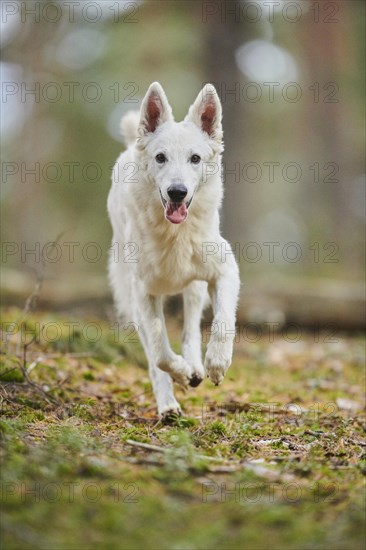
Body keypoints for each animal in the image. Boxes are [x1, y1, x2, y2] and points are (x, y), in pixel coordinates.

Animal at [108, 82, 240, 420]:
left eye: (195, 158)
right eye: (160, 157)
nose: (177, 192)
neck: (175, 235)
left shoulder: (225, 270)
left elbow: (222, 323)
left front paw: (216, 364)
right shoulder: (144, 293)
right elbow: (160, 354)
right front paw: (179, 373)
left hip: (194, 289)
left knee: (190, 330)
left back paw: (196, 367)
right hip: (131, 299)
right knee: (155, 356)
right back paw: (169, 403)